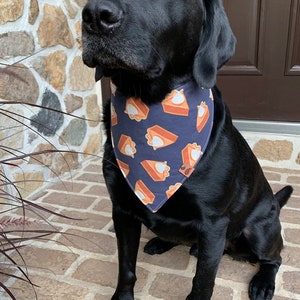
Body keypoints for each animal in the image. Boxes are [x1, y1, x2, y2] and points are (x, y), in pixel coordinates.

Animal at [81, 1, 292, 298]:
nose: (95, 16)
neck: (150, 106)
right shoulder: (122, 210)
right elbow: (126, 268)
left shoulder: (213, 224)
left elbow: (203, 281)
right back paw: (162, 241)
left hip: (259, 232)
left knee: (275, 257)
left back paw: (263, 283)